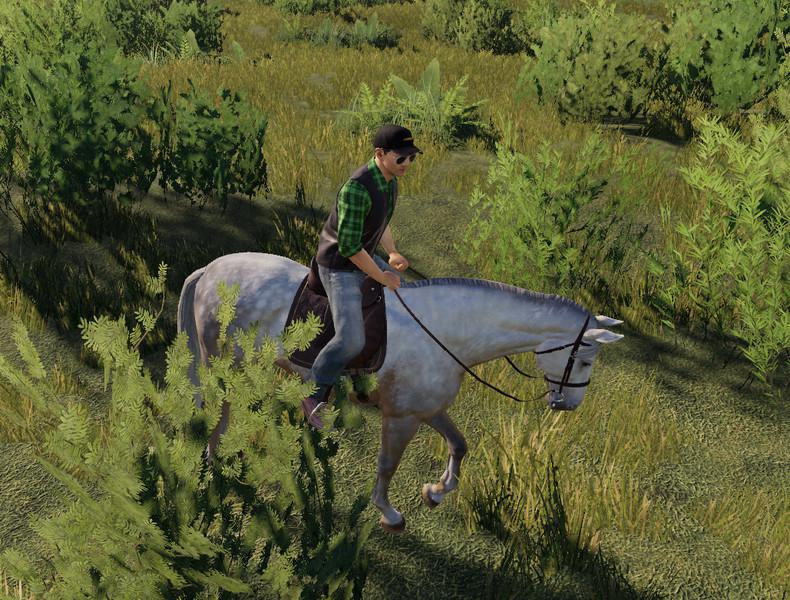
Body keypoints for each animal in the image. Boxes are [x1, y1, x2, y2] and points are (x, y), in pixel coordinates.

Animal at [177, 252, 625, 532]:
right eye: (585, 361)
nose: (568, 405)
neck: (445, 330)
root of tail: (210, 269)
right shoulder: (401, 418)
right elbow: (387, 466)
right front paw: (389, 514)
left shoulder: (427, 410)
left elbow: (460, 445)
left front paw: (436, 493)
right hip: (222, 363)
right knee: (220, 407)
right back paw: (215, 460)